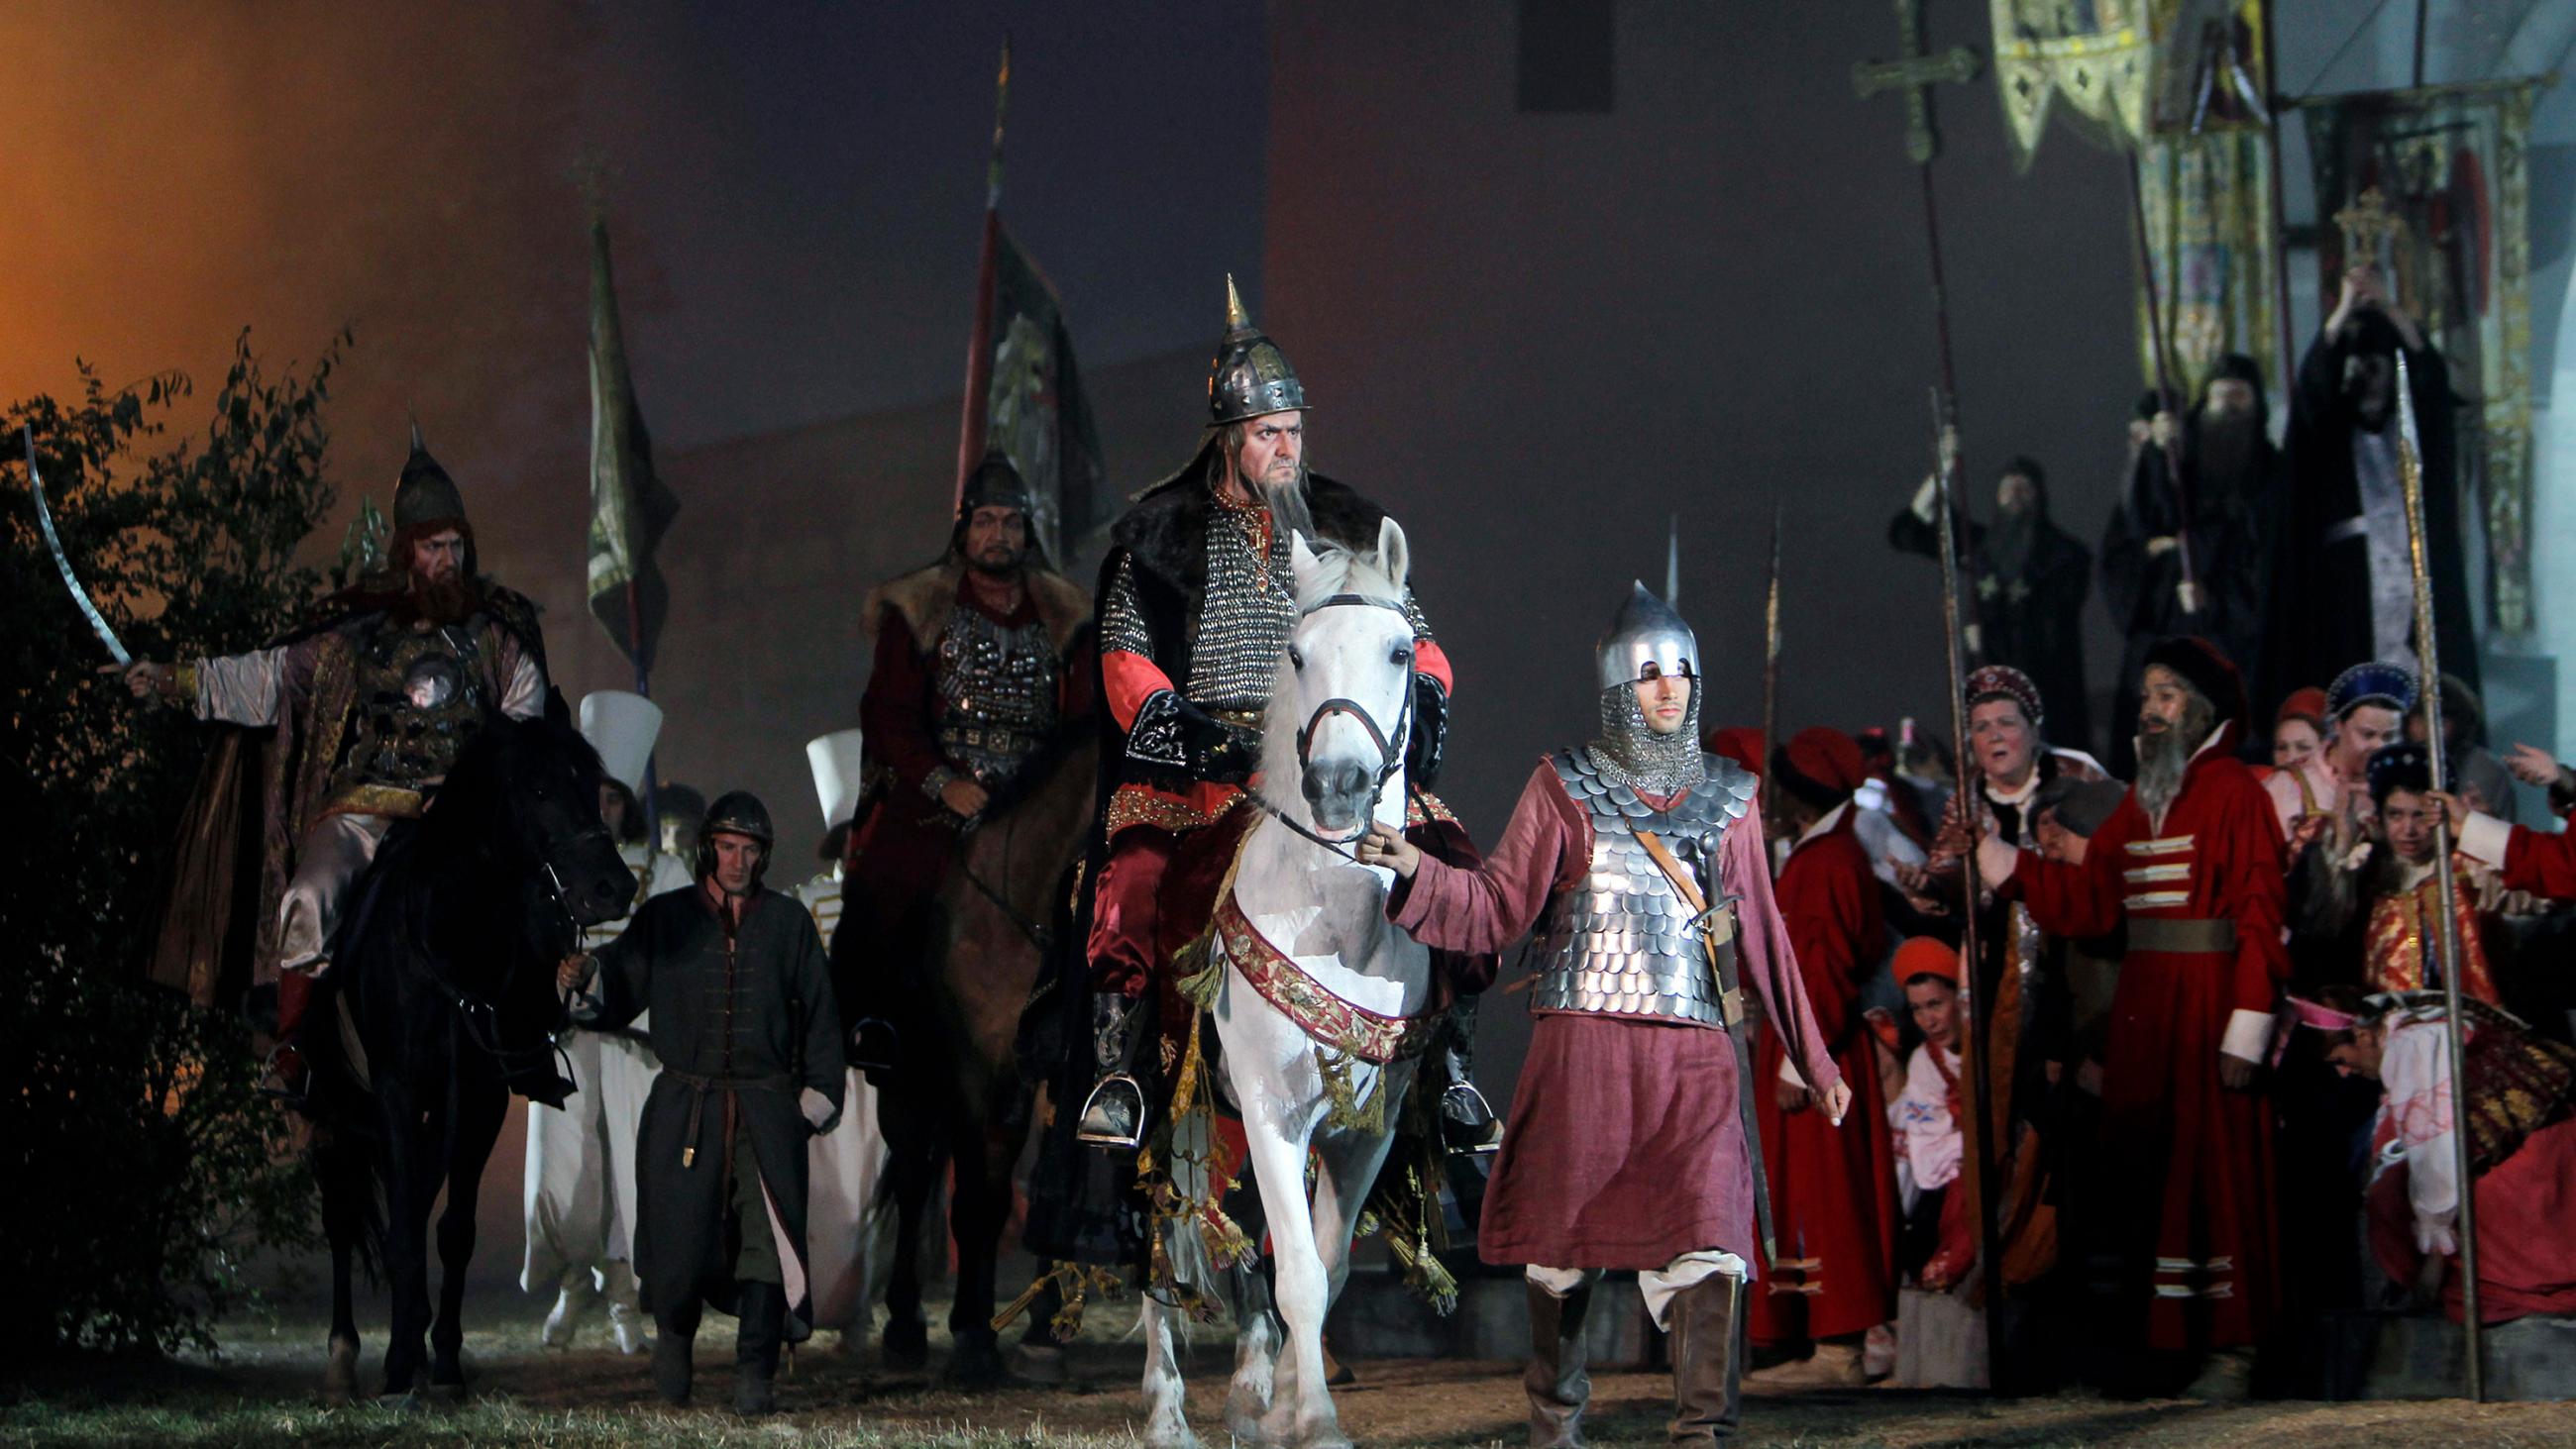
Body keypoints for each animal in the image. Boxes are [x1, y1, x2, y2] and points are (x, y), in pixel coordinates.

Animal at [302, 715, 638, 1410]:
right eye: (538, 789)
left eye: (589, 787)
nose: (614, 888)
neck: (450, 942)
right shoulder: (398, 1090)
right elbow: (401, 1226)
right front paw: (400, 1363)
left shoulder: (478, 1098)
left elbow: (452, 1229)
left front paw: (445, 1362)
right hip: (333, 1111)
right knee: (344, 1217)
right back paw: (343, 1357)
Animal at [1148, 522, 1452, 1449]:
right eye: (1296, 652)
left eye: (1400, 650)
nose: (1339, 784)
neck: (1332, 920)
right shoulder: (1271, 1106)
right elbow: (1301, 1277)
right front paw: (1314, 1417)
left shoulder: (1364, 1131)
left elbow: (1327, 1263)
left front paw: (1287, 1401)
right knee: (1149, 1228)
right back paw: (1165, 1406)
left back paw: (1248, 1398)